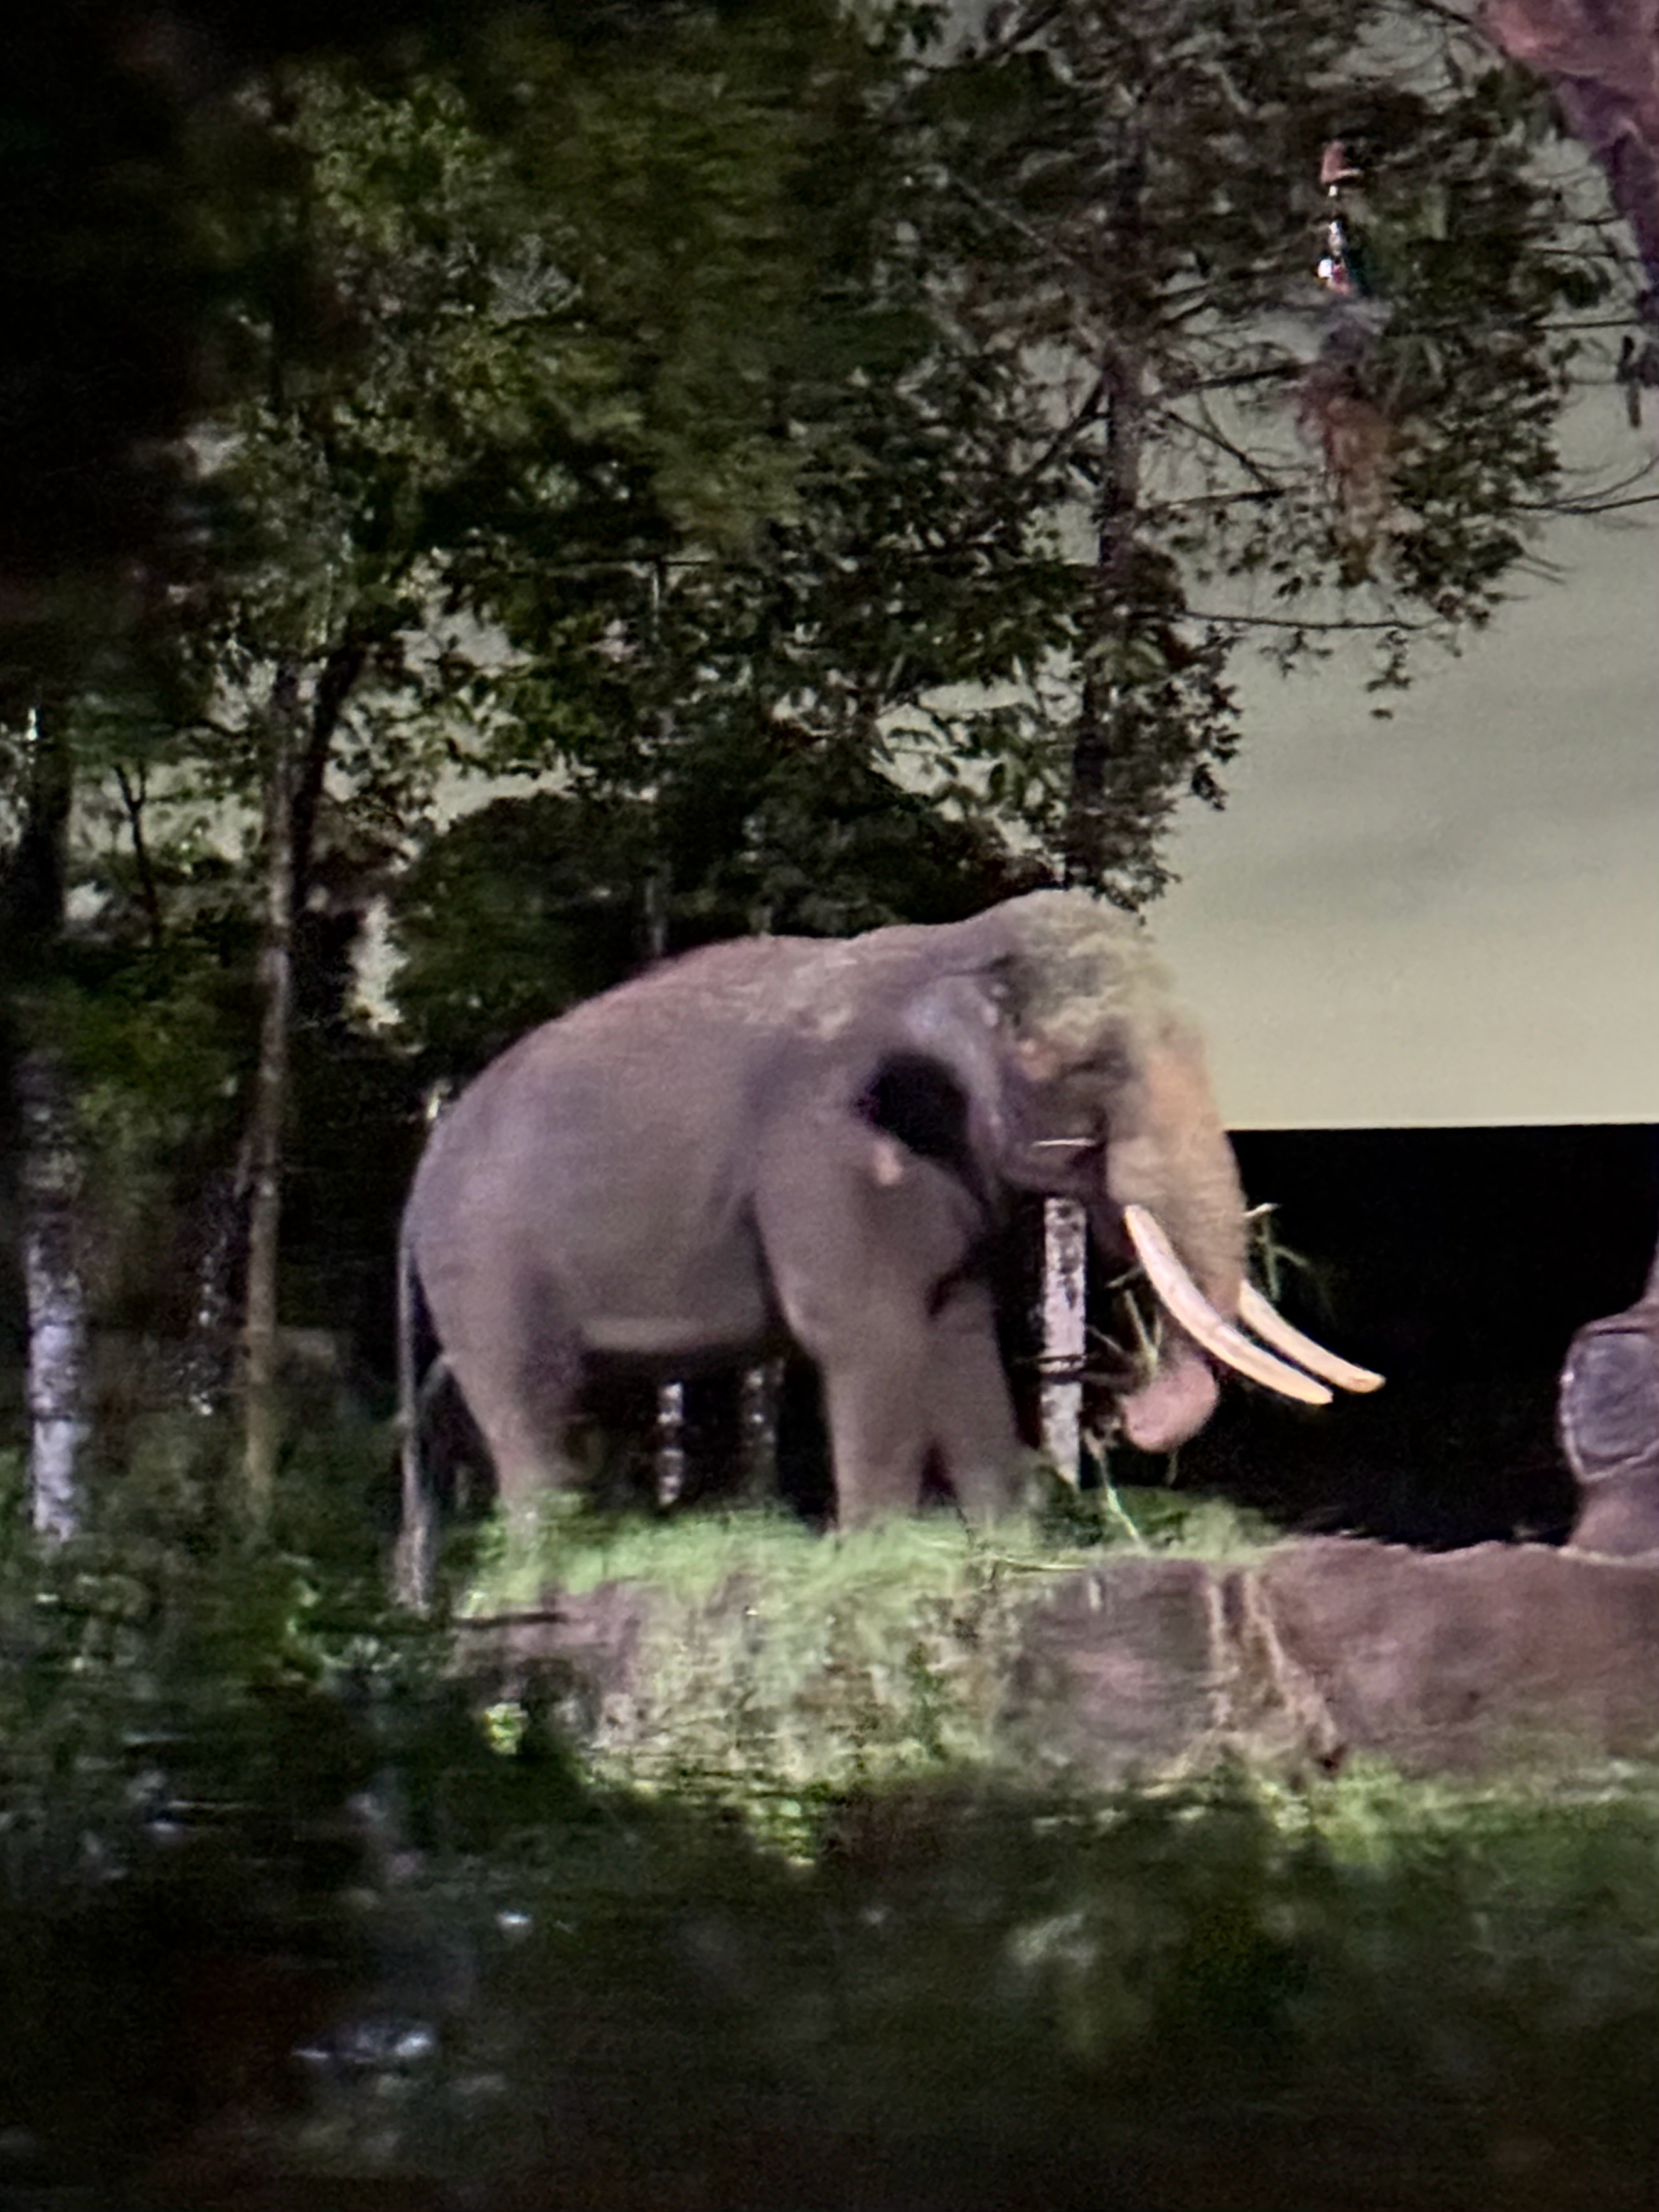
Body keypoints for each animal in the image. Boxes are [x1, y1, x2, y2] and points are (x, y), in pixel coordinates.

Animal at [396, 891, 1380, 1599]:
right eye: (1094, 1066)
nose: (1121, 1415)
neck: (951, 949)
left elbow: (959, 1333)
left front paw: (1006, 1546)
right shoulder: (825, 1151)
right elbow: (867, 1333)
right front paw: (876, 1560)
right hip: (481, 1263)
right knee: (529, 1398)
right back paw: (544, 1572)